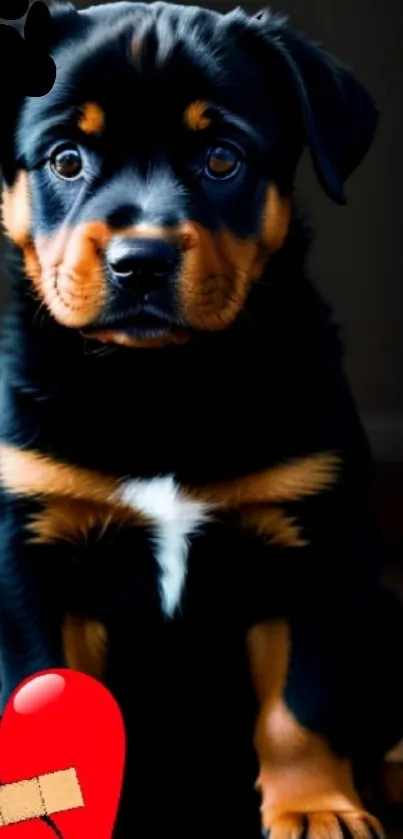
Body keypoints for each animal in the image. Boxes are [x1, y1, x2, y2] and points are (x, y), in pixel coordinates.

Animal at [0, 1, 400, 839]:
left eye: (221, 158)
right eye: (64, 160)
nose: (139, 261)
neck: (162, 382)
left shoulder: (320, 546)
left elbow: (303, 702)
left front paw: (315, 804)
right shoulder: (31, 551)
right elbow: (40, 684)